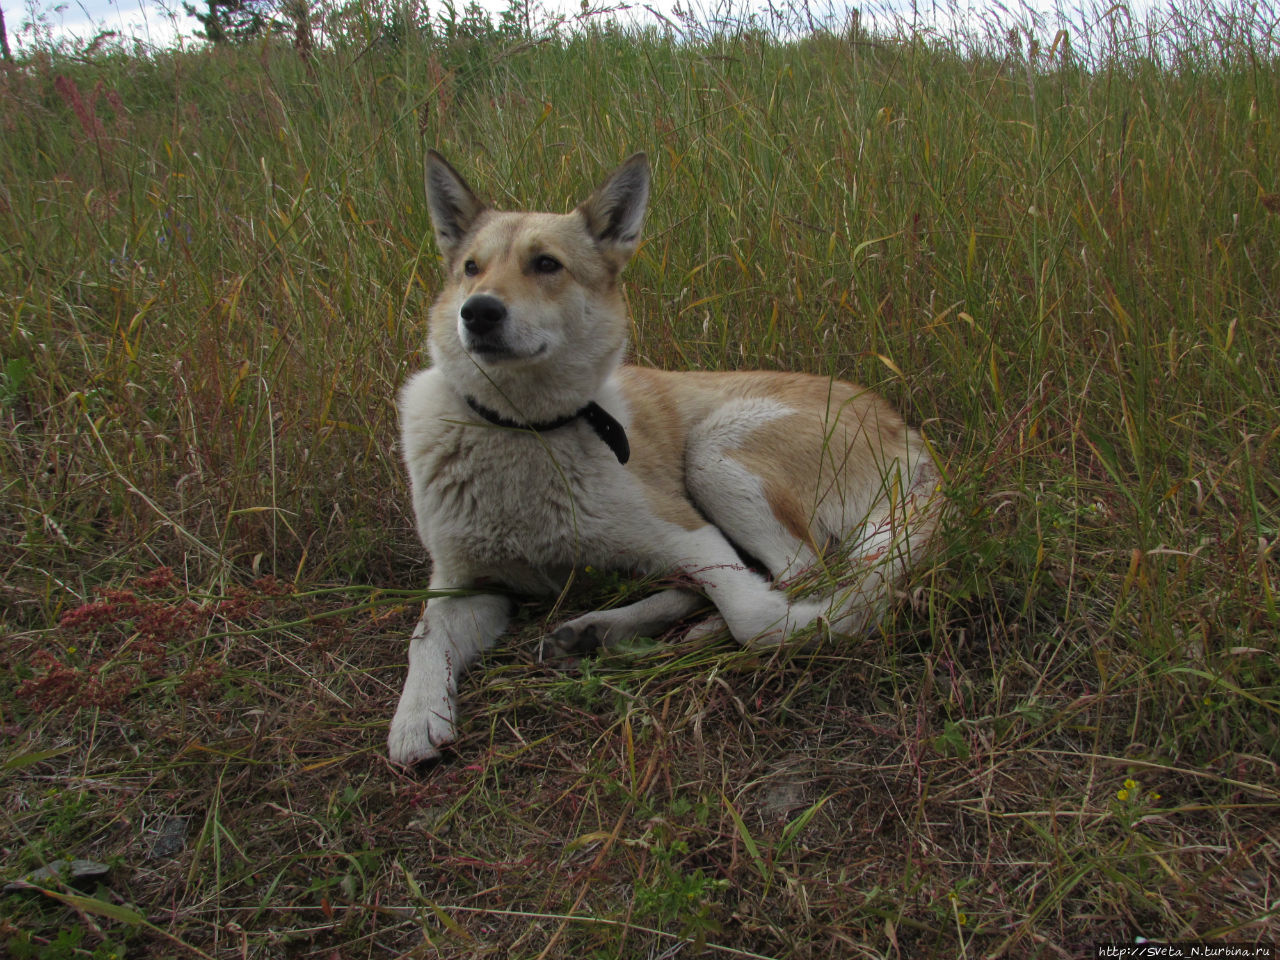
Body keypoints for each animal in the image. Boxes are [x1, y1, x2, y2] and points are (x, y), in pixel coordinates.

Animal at [384, 152, 947, 768]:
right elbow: (424, 637)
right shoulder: (467, 583)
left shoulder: (687, 530)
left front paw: (814, 625)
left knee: (795, 569)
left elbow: (759, 616)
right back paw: (601, 629)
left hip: (712, 453)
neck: (526, 431)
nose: (478, 311)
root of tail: (904, 429)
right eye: (470, 267)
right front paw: (416, 719)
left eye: (546, 264)